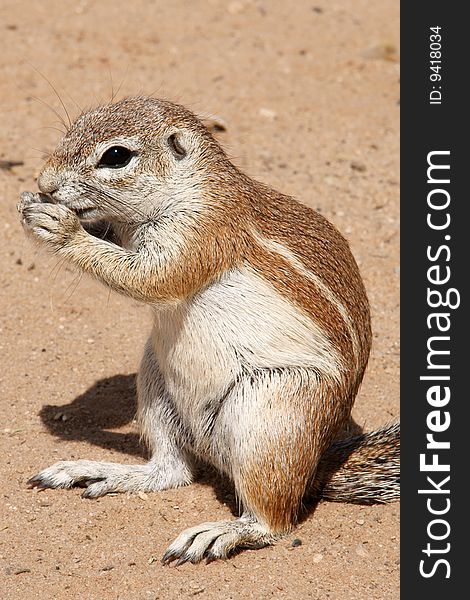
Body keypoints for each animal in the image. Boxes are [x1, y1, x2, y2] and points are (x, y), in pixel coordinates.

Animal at [19, 96, 400, 564]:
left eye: (116, 156)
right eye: (75, 125)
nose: (44, 182)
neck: (192, 185)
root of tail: (318, 461)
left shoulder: (201, 231)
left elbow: (150, 278)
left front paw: (59, 227)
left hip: (271, 417)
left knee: (273, 519)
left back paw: (221, 532)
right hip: (156, 387)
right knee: (171, 470)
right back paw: (101, 471)